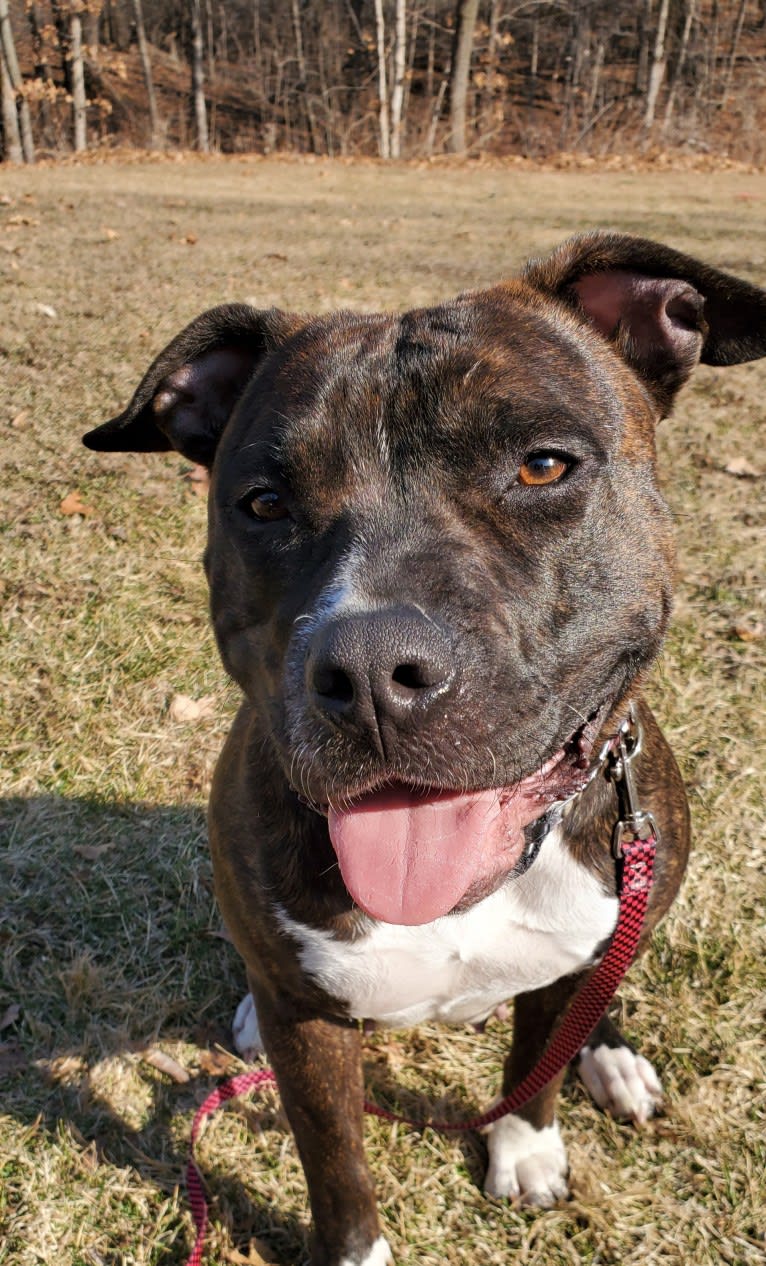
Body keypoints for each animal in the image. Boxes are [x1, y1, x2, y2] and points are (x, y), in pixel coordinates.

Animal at [83, 232, 764, 1260]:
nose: (370, 673)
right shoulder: (314, 1036)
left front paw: (526, 1149)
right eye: (263, 503)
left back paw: (611, 1058)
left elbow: (537, 1062)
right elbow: (336, 1165)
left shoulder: (567, 967)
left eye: (543, 466)